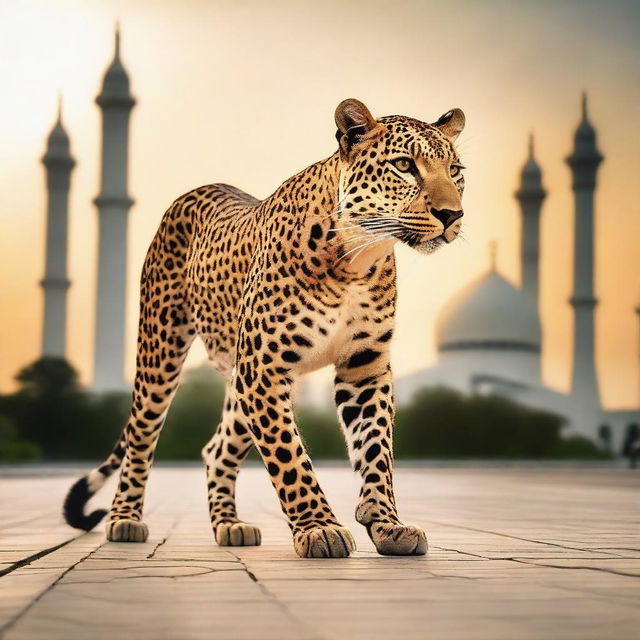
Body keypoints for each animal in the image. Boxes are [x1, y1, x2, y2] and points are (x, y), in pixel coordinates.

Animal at [63, 97, 464, 556]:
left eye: (455, 170)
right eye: (403, 165)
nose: (452, 214)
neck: (358, 256)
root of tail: (195, 191)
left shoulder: (365, 365)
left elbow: (376, 449)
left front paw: (386, 523)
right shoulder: (265, 368)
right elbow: (289, 456)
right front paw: (320, 528)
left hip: (238, 380)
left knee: (215, 450)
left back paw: (229, 525)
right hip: (161, 351)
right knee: (140, 437)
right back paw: (124, 519)